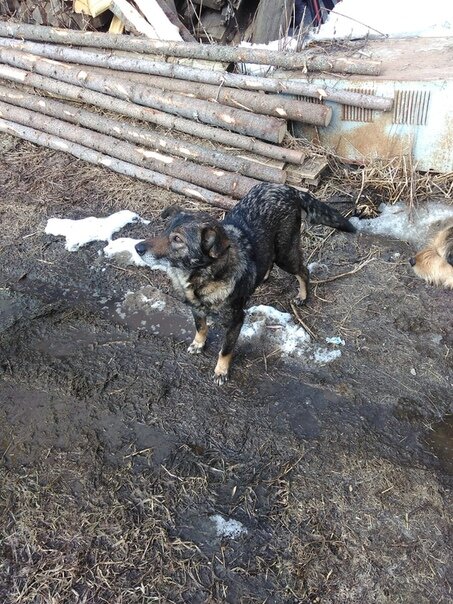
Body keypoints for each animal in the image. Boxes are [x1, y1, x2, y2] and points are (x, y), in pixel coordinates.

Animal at [134, 182, 356, 384]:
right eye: (164, 232)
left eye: (177, 239)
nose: (137, 247)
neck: (201, 277)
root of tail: (288, 188)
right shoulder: (196, 310)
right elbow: (201, 327)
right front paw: (198, 344)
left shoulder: (236, 321)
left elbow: (225, 349)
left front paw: (221, 371)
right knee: (269, 261)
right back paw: (263, 276)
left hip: (285, 254)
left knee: (303, 271)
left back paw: (302, 295)